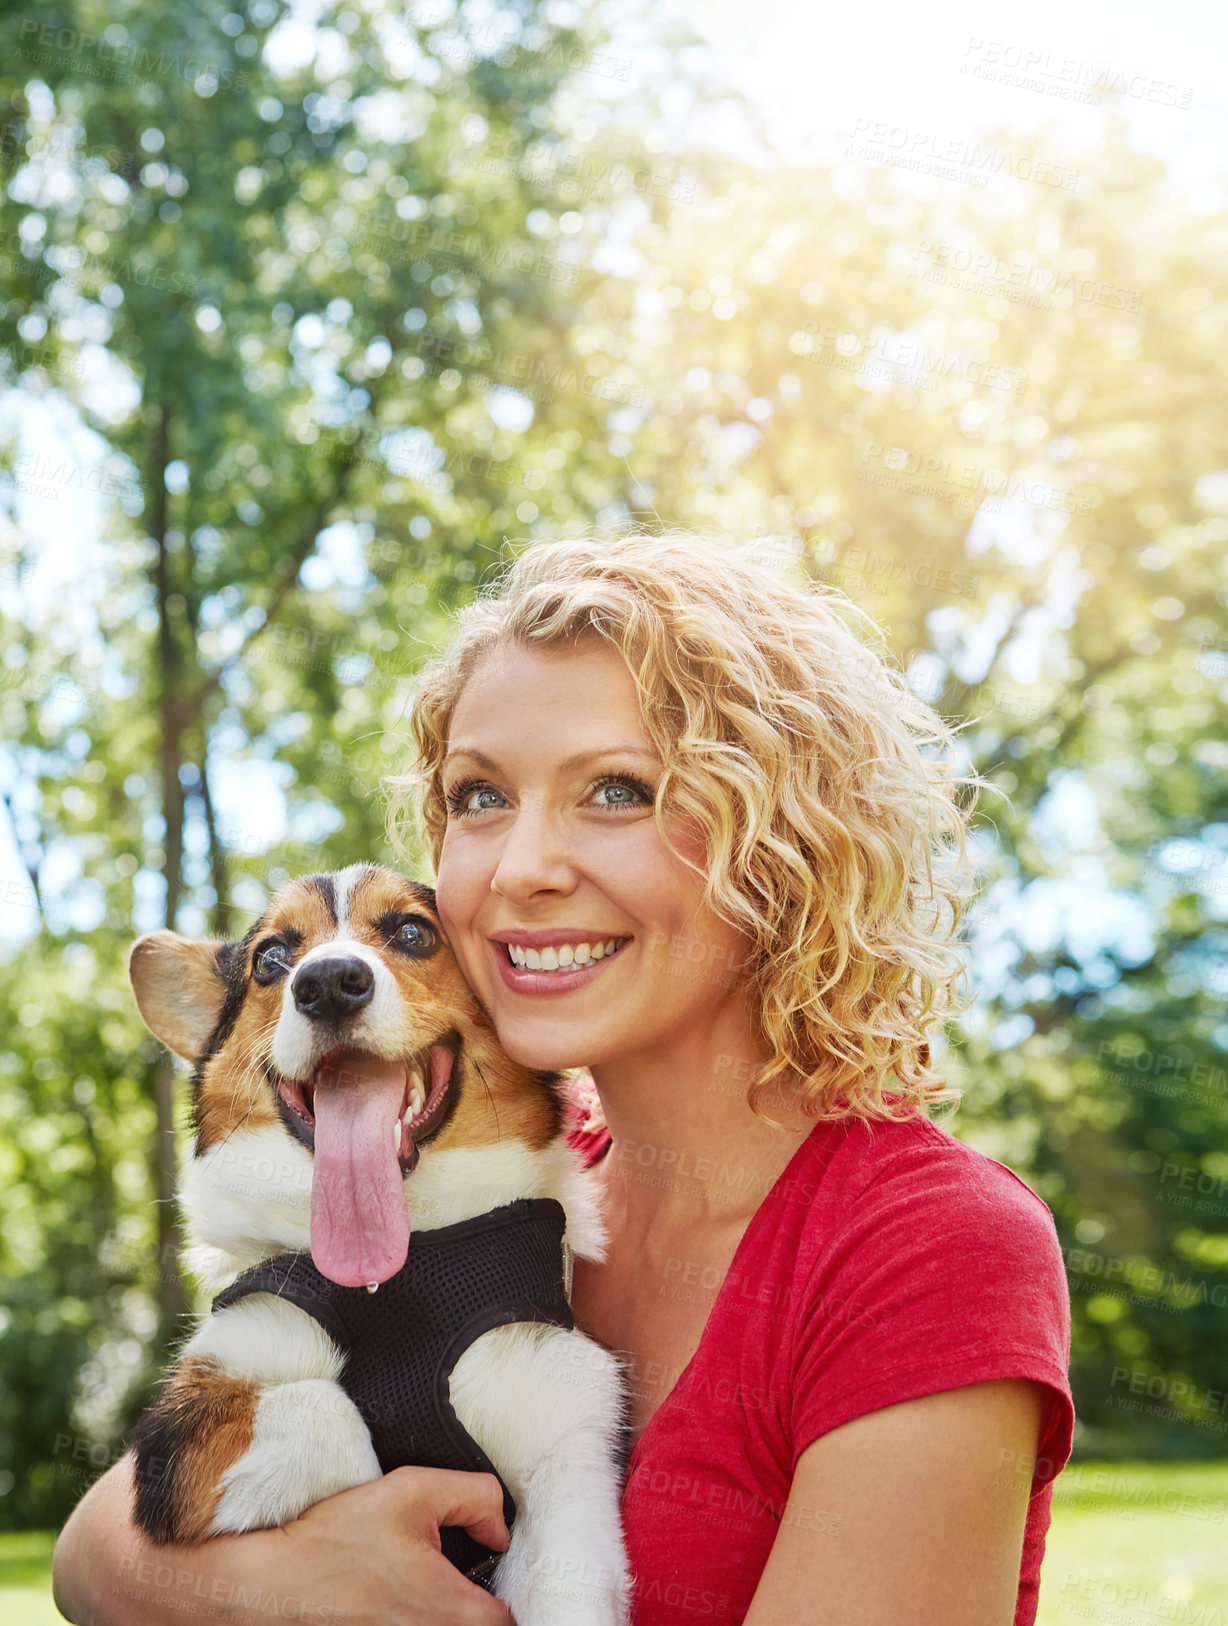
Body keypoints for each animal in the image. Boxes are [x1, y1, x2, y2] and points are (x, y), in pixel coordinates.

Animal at [127, 865, 634, 1626]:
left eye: (414, 933)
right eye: (271, 958)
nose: (328, 982)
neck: (402, 1265)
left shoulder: (565, 1447)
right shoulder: (183, 1436)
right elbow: (336, 1417)